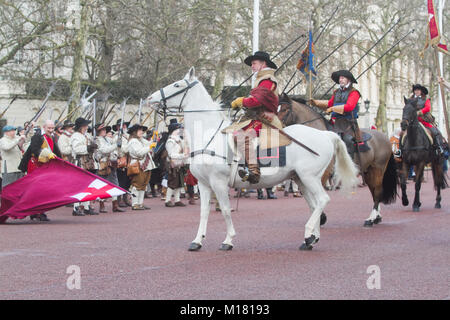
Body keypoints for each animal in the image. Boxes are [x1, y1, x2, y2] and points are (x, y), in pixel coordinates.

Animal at [148, 68, 358, 252]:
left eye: (176, 85)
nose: (150, 98)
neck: (210, 135)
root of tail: (325, 134)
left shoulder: (218, 182)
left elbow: (225, 210)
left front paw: (228, 240)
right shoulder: (204, 184)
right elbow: (204, 212)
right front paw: (197, 241)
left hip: (310, 177)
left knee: (323, 200)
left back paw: (308, 235)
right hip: (300, 179)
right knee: (314, 205)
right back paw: (311, 239)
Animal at [280, 94, 400, 226]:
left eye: (285, 109)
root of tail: (384, 137)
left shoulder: (321, 174)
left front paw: (321, 218)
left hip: (378, 169)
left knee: (378, 191)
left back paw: (371, 219)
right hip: (368, 172)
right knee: (374, 192)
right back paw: (376, 217)